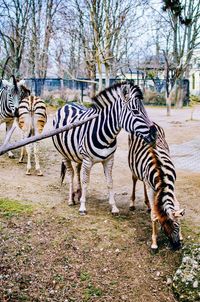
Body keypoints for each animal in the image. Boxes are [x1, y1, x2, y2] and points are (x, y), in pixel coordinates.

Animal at [52, 82, 157, 215]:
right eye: (135, 111)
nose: (155, 134)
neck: (106, 134)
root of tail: (68, 104)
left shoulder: (109, 159)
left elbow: (110, 182)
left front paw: (114, 207)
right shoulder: (87, 160)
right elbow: (86, 182)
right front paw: (82, 207)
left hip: (77, 155)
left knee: (77, 169)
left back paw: (78, 193)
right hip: (64, 154)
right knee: (71, 174)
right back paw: (71, 199)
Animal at [128, 121, 184, 251]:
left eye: (177, 226)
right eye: (164, 229)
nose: (176, 247)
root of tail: (151, 122)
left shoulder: (172, 186)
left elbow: (177, 205)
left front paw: (181, 236)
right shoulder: (152, 188)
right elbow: (154, 215)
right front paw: (154, 243)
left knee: (143, 183)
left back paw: (148, 204)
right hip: (134, 167)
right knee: (135, 179)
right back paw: (132, 203)